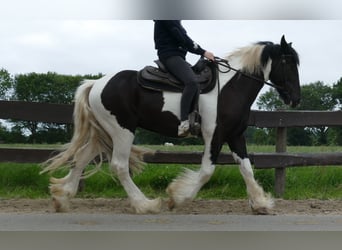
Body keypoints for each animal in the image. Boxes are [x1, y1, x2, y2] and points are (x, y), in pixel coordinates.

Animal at [42, 35, 300, 215]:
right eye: (288, 63)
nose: (295, 99)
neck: (229, 88)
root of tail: (96, 84)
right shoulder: (214, 135)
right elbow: (206, 171)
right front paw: (178, 198)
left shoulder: (235, 135)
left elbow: (246, 169)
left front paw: (260, 204)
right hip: (122, 131)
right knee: (119, 166)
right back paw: (144, 205)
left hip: (106, 131)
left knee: (82, 158)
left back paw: (62, 197)